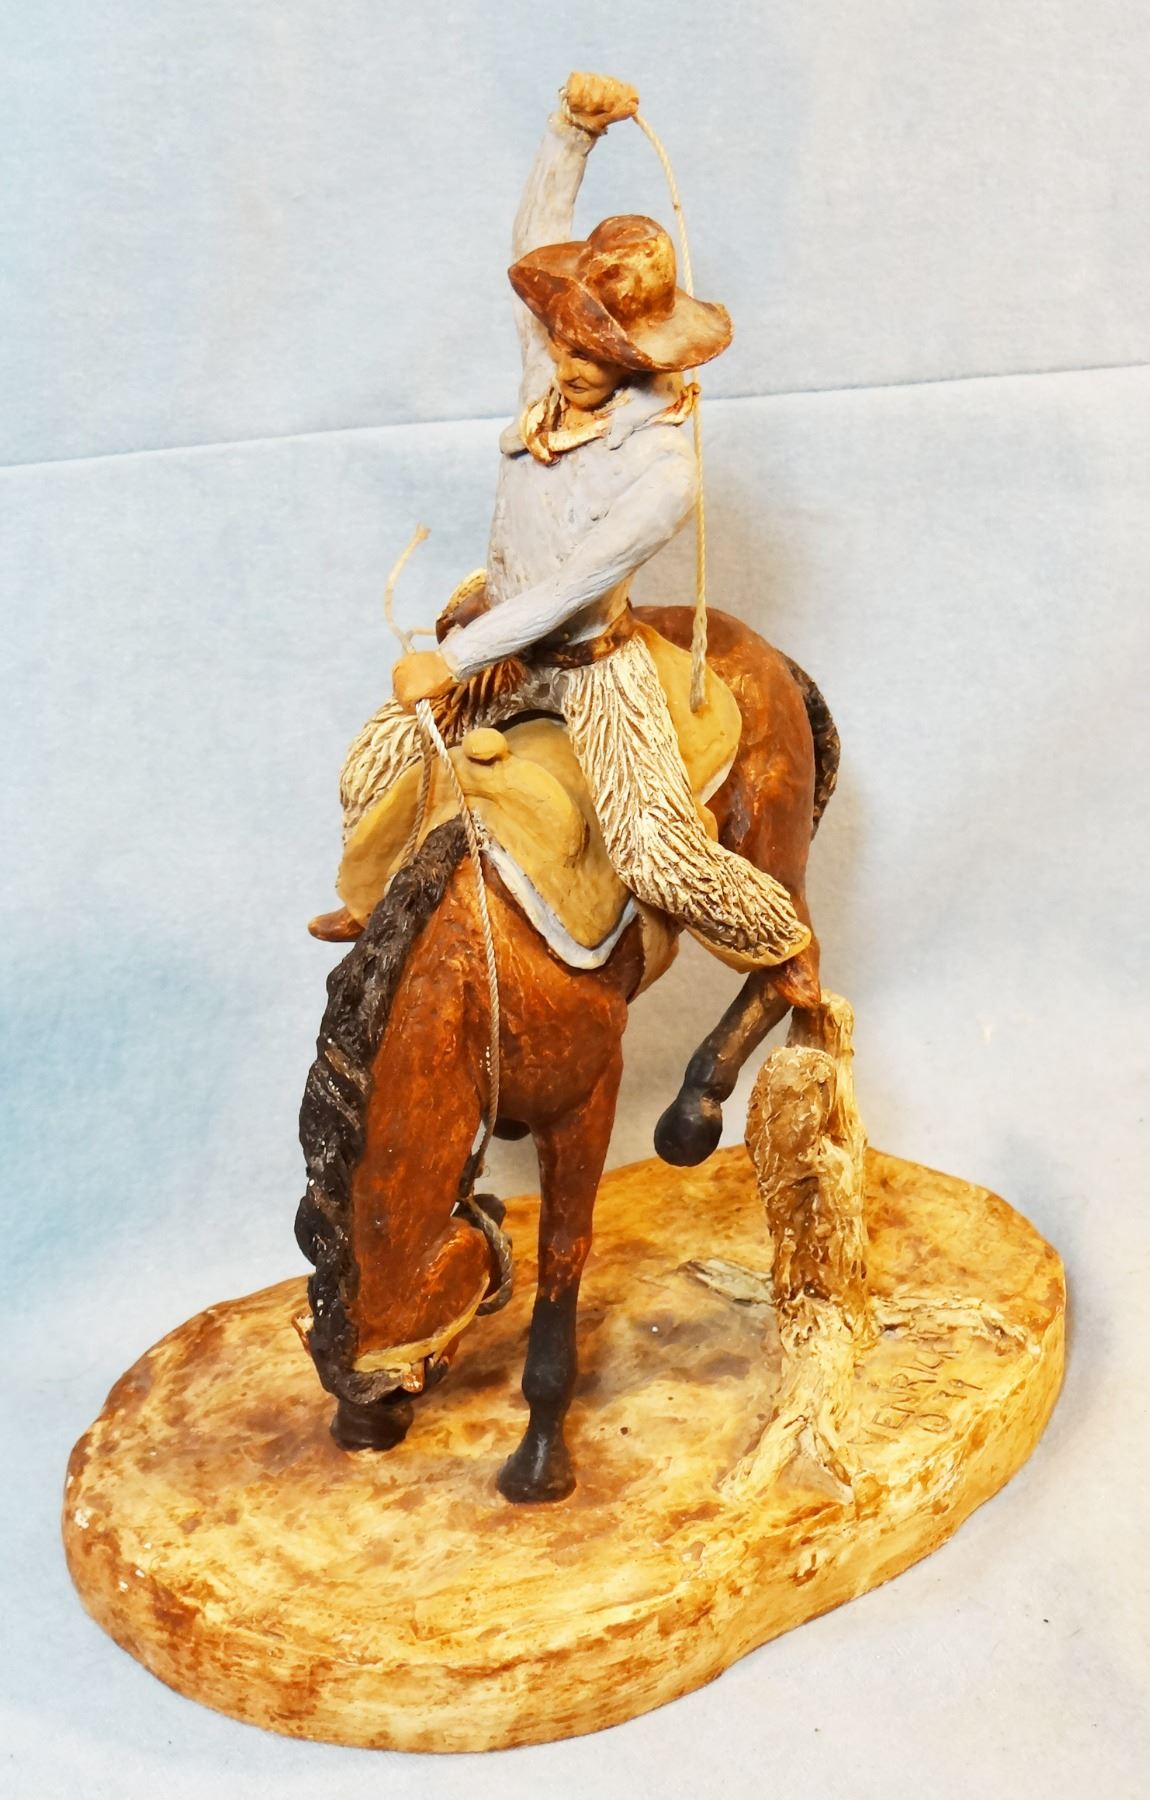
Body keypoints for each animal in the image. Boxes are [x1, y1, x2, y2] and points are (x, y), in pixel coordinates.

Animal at [295, 604, 839, 1504]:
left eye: (413, 1373)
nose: (361, 1431)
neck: (475, 975)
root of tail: (761, 648)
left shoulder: (588, 1101)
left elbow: (563, 1252)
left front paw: (540, 1460)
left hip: (764, 842)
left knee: (794, 965)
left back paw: (693, 1116)